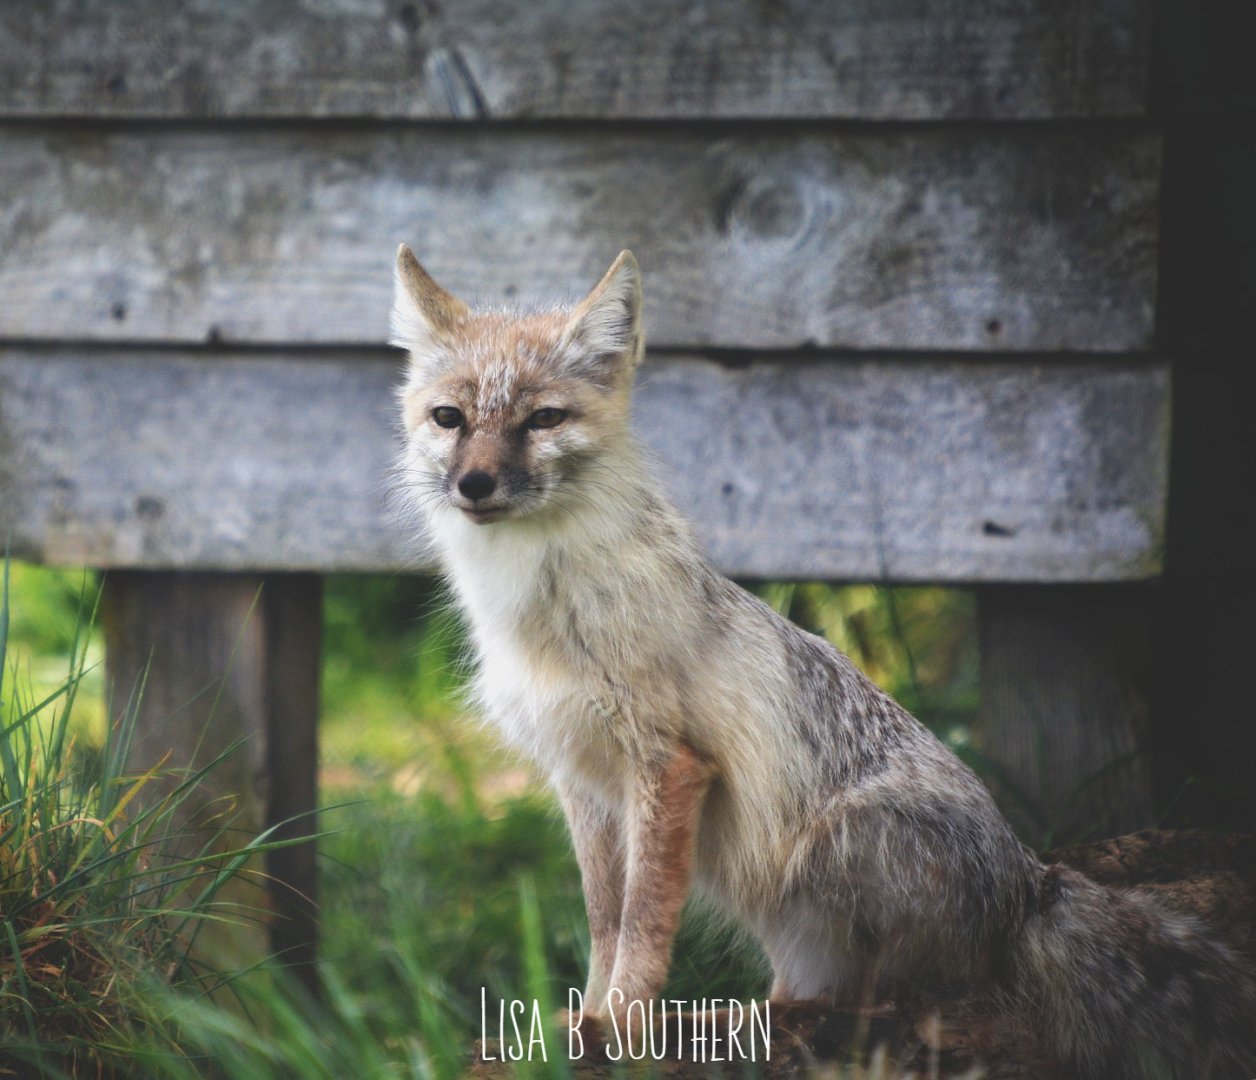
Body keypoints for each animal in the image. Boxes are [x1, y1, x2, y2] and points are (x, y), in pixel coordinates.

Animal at [390, 243, 1256, 1078]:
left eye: (542, 419)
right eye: (450, 418)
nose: (475, 483)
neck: (537, 609)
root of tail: (1031, 882)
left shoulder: (669, 765)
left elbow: (642, 922)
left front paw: (624, 1026)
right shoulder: (583, 778)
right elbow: (605, 920)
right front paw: (588, 1022)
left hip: (835, 841)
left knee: (904, 998)